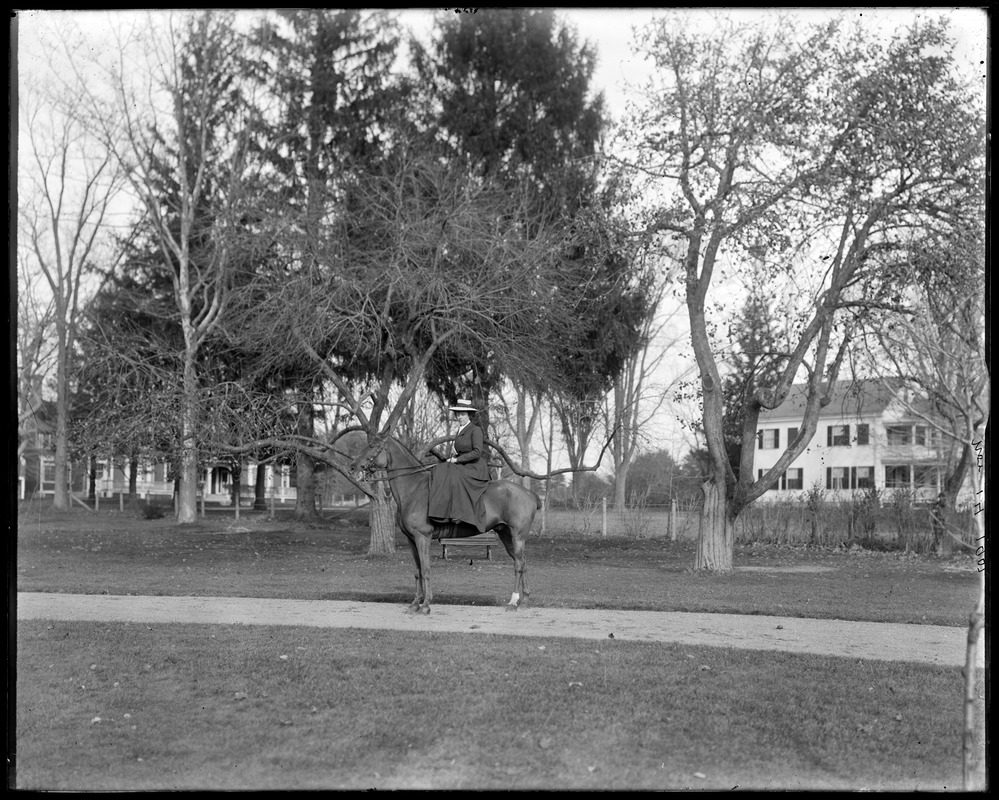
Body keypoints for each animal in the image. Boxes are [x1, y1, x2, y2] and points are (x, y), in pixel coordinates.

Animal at [352, 438, 540, 612]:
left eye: (372, 445)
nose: (353, 467)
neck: (414, 488)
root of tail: (529, 493)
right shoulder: (411, 540)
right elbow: (417, 571)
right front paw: (415, 603)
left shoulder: (422, 537)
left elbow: (426, 569)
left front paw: (426, 605)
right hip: (506, 535)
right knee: (522, 562)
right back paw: (524, 600)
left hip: (517, 536)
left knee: (518, 565)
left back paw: (513, 602)